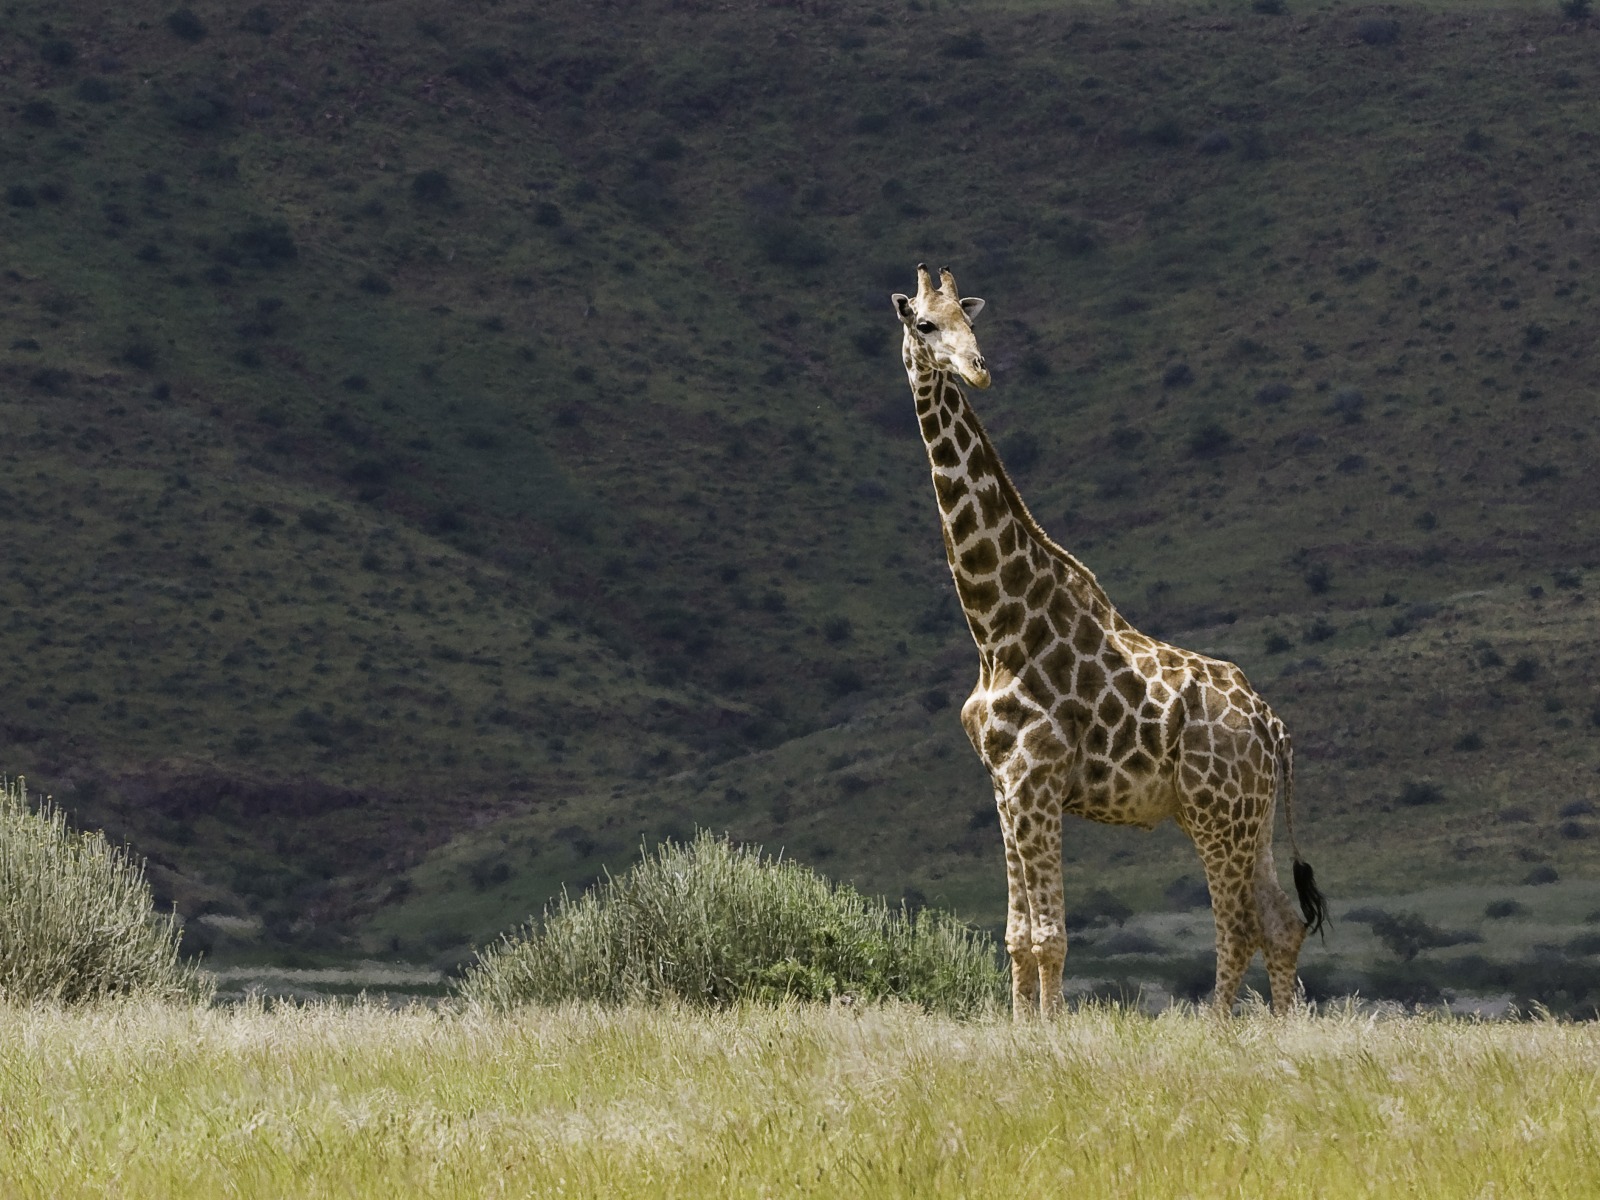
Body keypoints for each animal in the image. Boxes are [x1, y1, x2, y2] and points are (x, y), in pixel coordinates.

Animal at [892, 265, 1327, 1019]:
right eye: (925, 323)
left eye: (972, 323)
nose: (977, 369)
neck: (995, 624)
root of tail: (1274, 729)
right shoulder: (1004, 786)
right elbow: (1016, 936)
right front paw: (1021, 1030)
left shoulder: (1034, 778)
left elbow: (1049, 937)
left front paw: (1052, 1034)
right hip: (1251, 816)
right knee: (1279, 920)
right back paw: (1281, 1033)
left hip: (1217, 813)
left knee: (1240, 925)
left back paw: (1218, 1031)